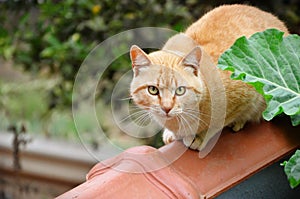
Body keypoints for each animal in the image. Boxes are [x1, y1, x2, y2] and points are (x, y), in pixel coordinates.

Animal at [128, 4, 288, 154]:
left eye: (180, 90)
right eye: (153, 90)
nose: (166, 108)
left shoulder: (248, 94)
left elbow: (219, 123)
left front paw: (200, 137)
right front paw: (172, 134)